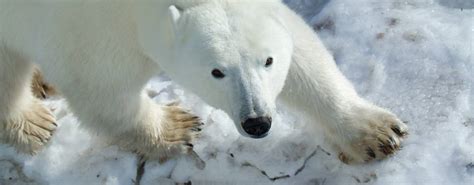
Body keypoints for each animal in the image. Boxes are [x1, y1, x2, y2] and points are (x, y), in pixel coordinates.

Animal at [0, 0, 408, 165]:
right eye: (216, 72)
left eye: (268, 61)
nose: (258, 122)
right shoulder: (88, 26)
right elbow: (100, 86)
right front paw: (176, 127)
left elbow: (301, 50)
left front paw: (376, 133)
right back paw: (31, 122)